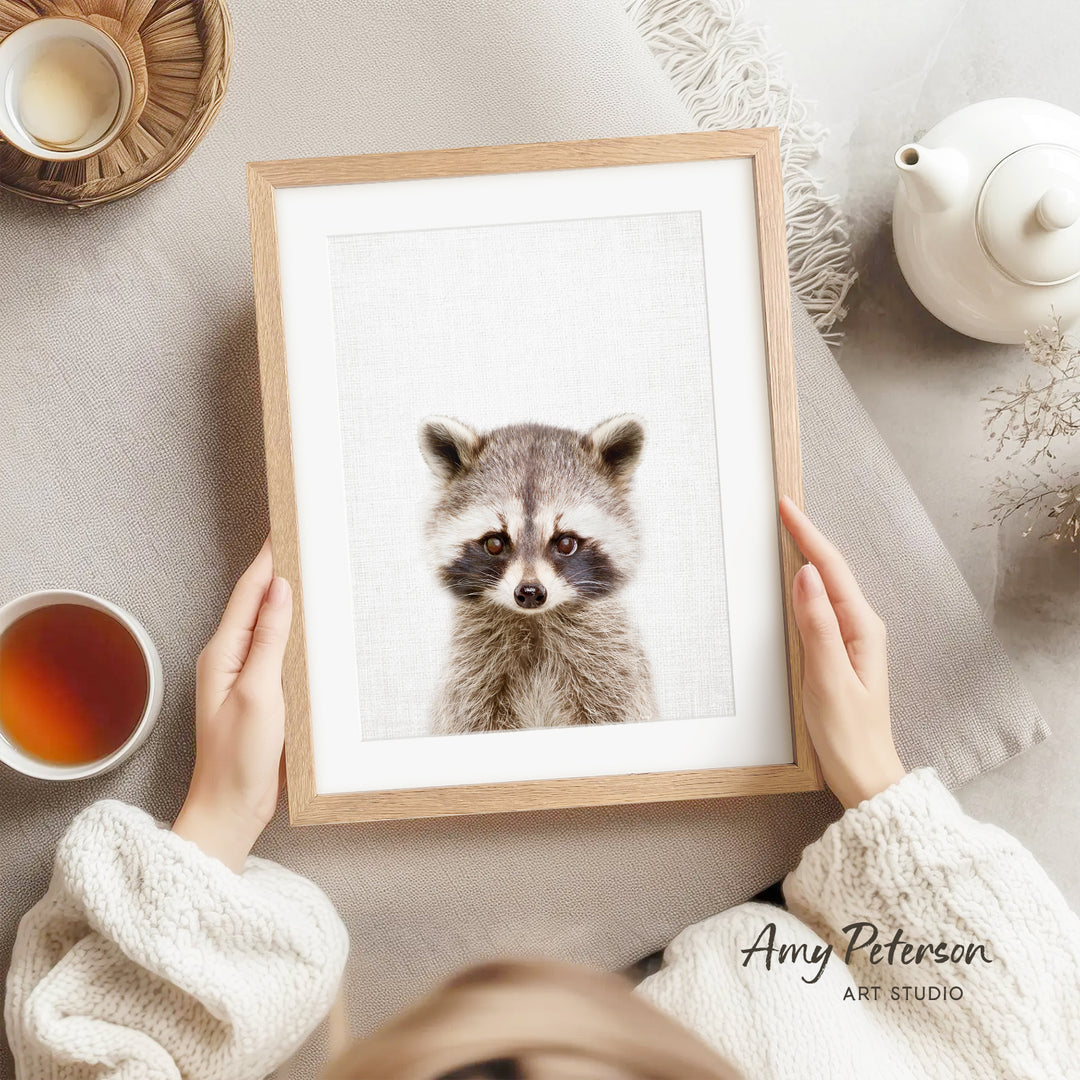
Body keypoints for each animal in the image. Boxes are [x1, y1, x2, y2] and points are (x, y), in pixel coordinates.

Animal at [419, 413, 656, 735]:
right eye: (494, 543)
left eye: (566, 543)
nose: (530, 593)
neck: (534, 622)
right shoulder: (470, 677)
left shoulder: (612, 671)